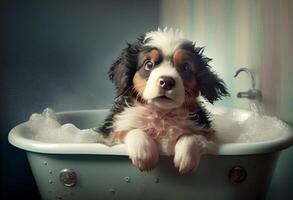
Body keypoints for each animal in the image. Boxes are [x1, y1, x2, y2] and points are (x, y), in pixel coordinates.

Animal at [97, 27, 227, 173]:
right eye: (148, 64)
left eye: (185, 67)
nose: (167, 82)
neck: (161, 114)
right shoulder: (112, 132)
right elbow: (130, 130)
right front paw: (144, 153)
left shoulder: (207, 134)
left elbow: (194, 136)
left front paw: (186, 155)